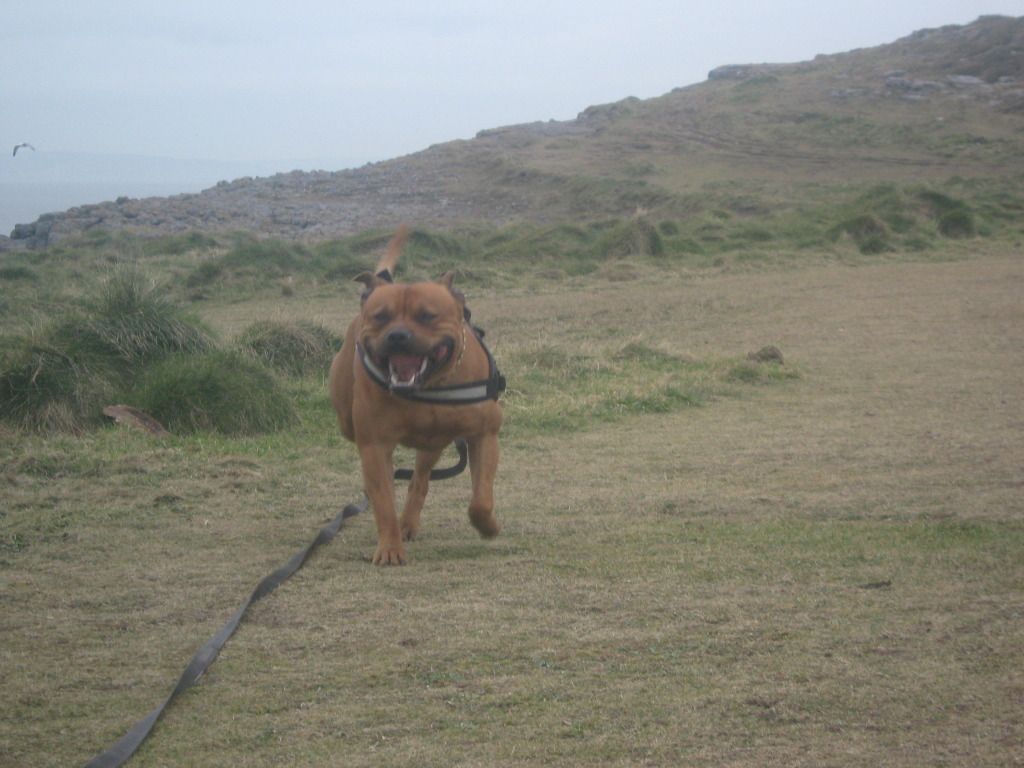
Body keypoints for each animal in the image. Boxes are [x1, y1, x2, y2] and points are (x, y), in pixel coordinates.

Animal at [327, 227, 503, 565]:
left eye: (427, 316)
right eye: (380, 317)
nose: (398, 336)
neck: (427, 385)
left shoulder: (484, 435)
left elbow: (481, 497)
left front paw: (487, 526)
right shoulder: (374, 445)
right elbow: (384, 502)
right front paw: (390, 548)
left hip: (433, 444)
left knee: (419, 480)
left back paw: (409, 521)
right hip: (347, 420)